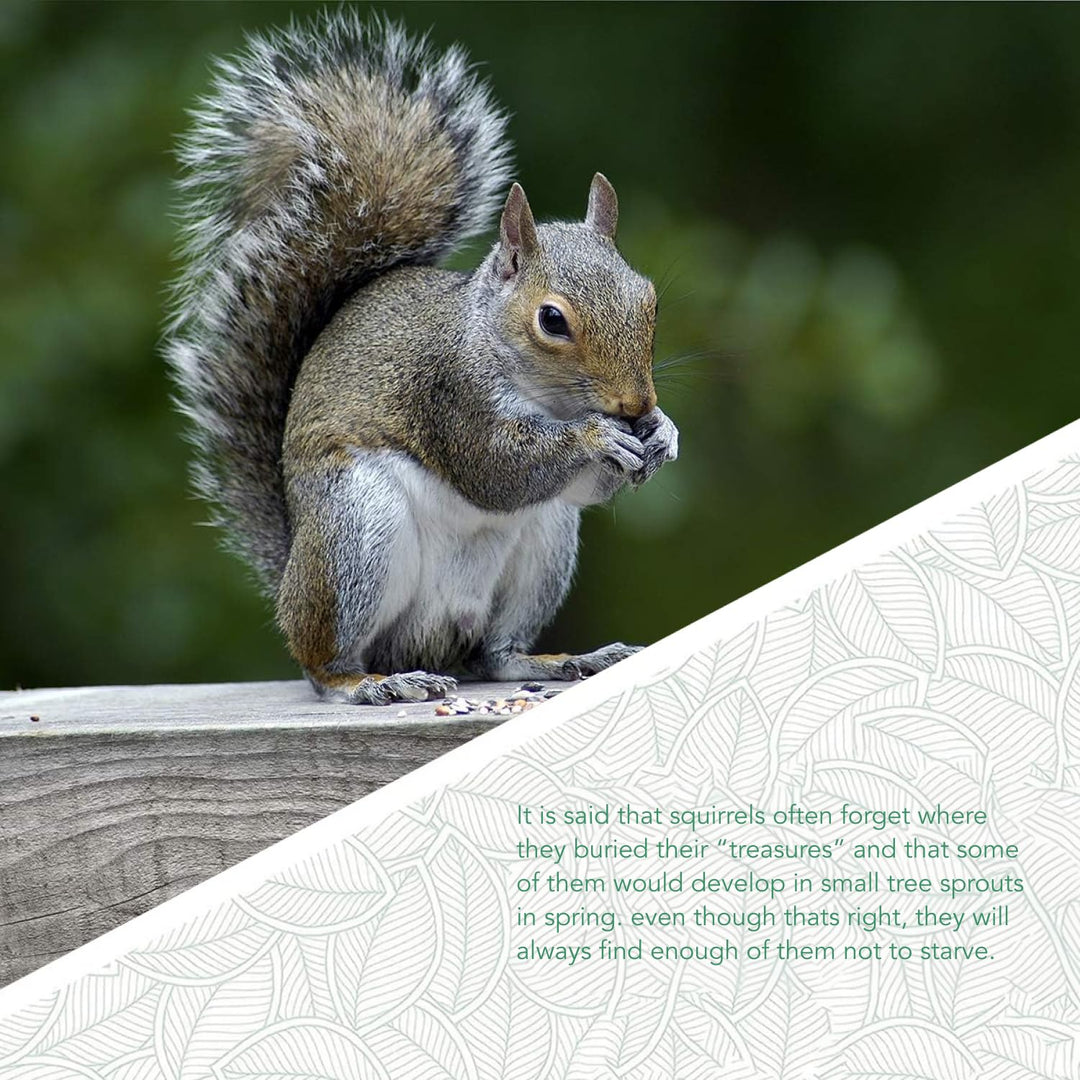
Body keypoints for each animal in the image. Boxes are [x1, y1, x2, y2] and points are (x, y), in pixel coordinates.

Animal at [166, 12, 679, 705]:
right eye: (552, 320)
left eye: (648, 297)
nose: (637, 404)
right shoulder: (449, 394)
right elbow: (496, 469)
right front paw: (598, 437)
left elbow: (579, 486)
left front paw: (662, 433)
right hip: (355, 531)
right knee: (324, 661)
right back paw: (366, 684)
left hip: (544, 544)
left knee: (494, 653)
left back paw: (553, 661)